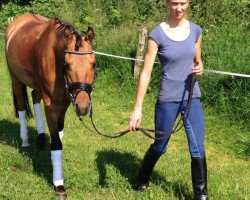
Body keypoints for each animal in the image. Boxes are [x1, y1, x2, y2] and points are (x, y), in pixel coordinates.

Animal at [5, 13, 96, 197]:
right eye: (68, 65)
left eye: (94, 64)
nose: (83, 106)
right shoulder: (51, 104)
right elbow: (56, 142)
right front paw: (59, 184)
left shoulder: (66, 102)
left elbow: (59, 134)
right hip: (16, 79)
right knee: (22, 107)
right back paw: (25, 141)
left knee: (34, 96)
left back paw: (40, 138)